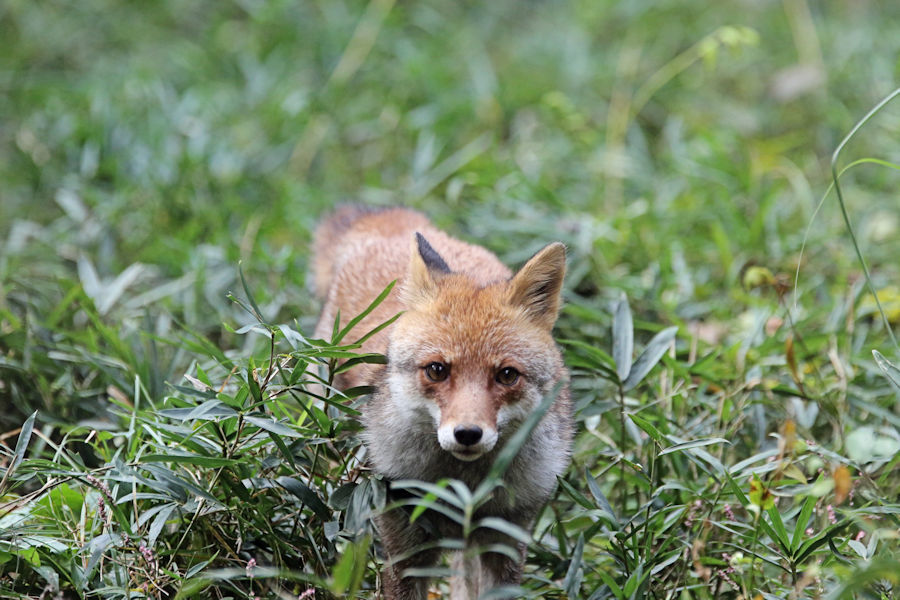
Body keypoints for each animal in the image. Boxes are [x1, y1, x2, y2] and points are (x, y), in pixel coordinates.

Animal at [312, 207, 572, 600]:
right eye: (437, 370)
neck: (464, 487)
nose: (467, 434)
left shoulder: (506, 542)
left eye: (507, 375)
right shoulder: (404, 548)